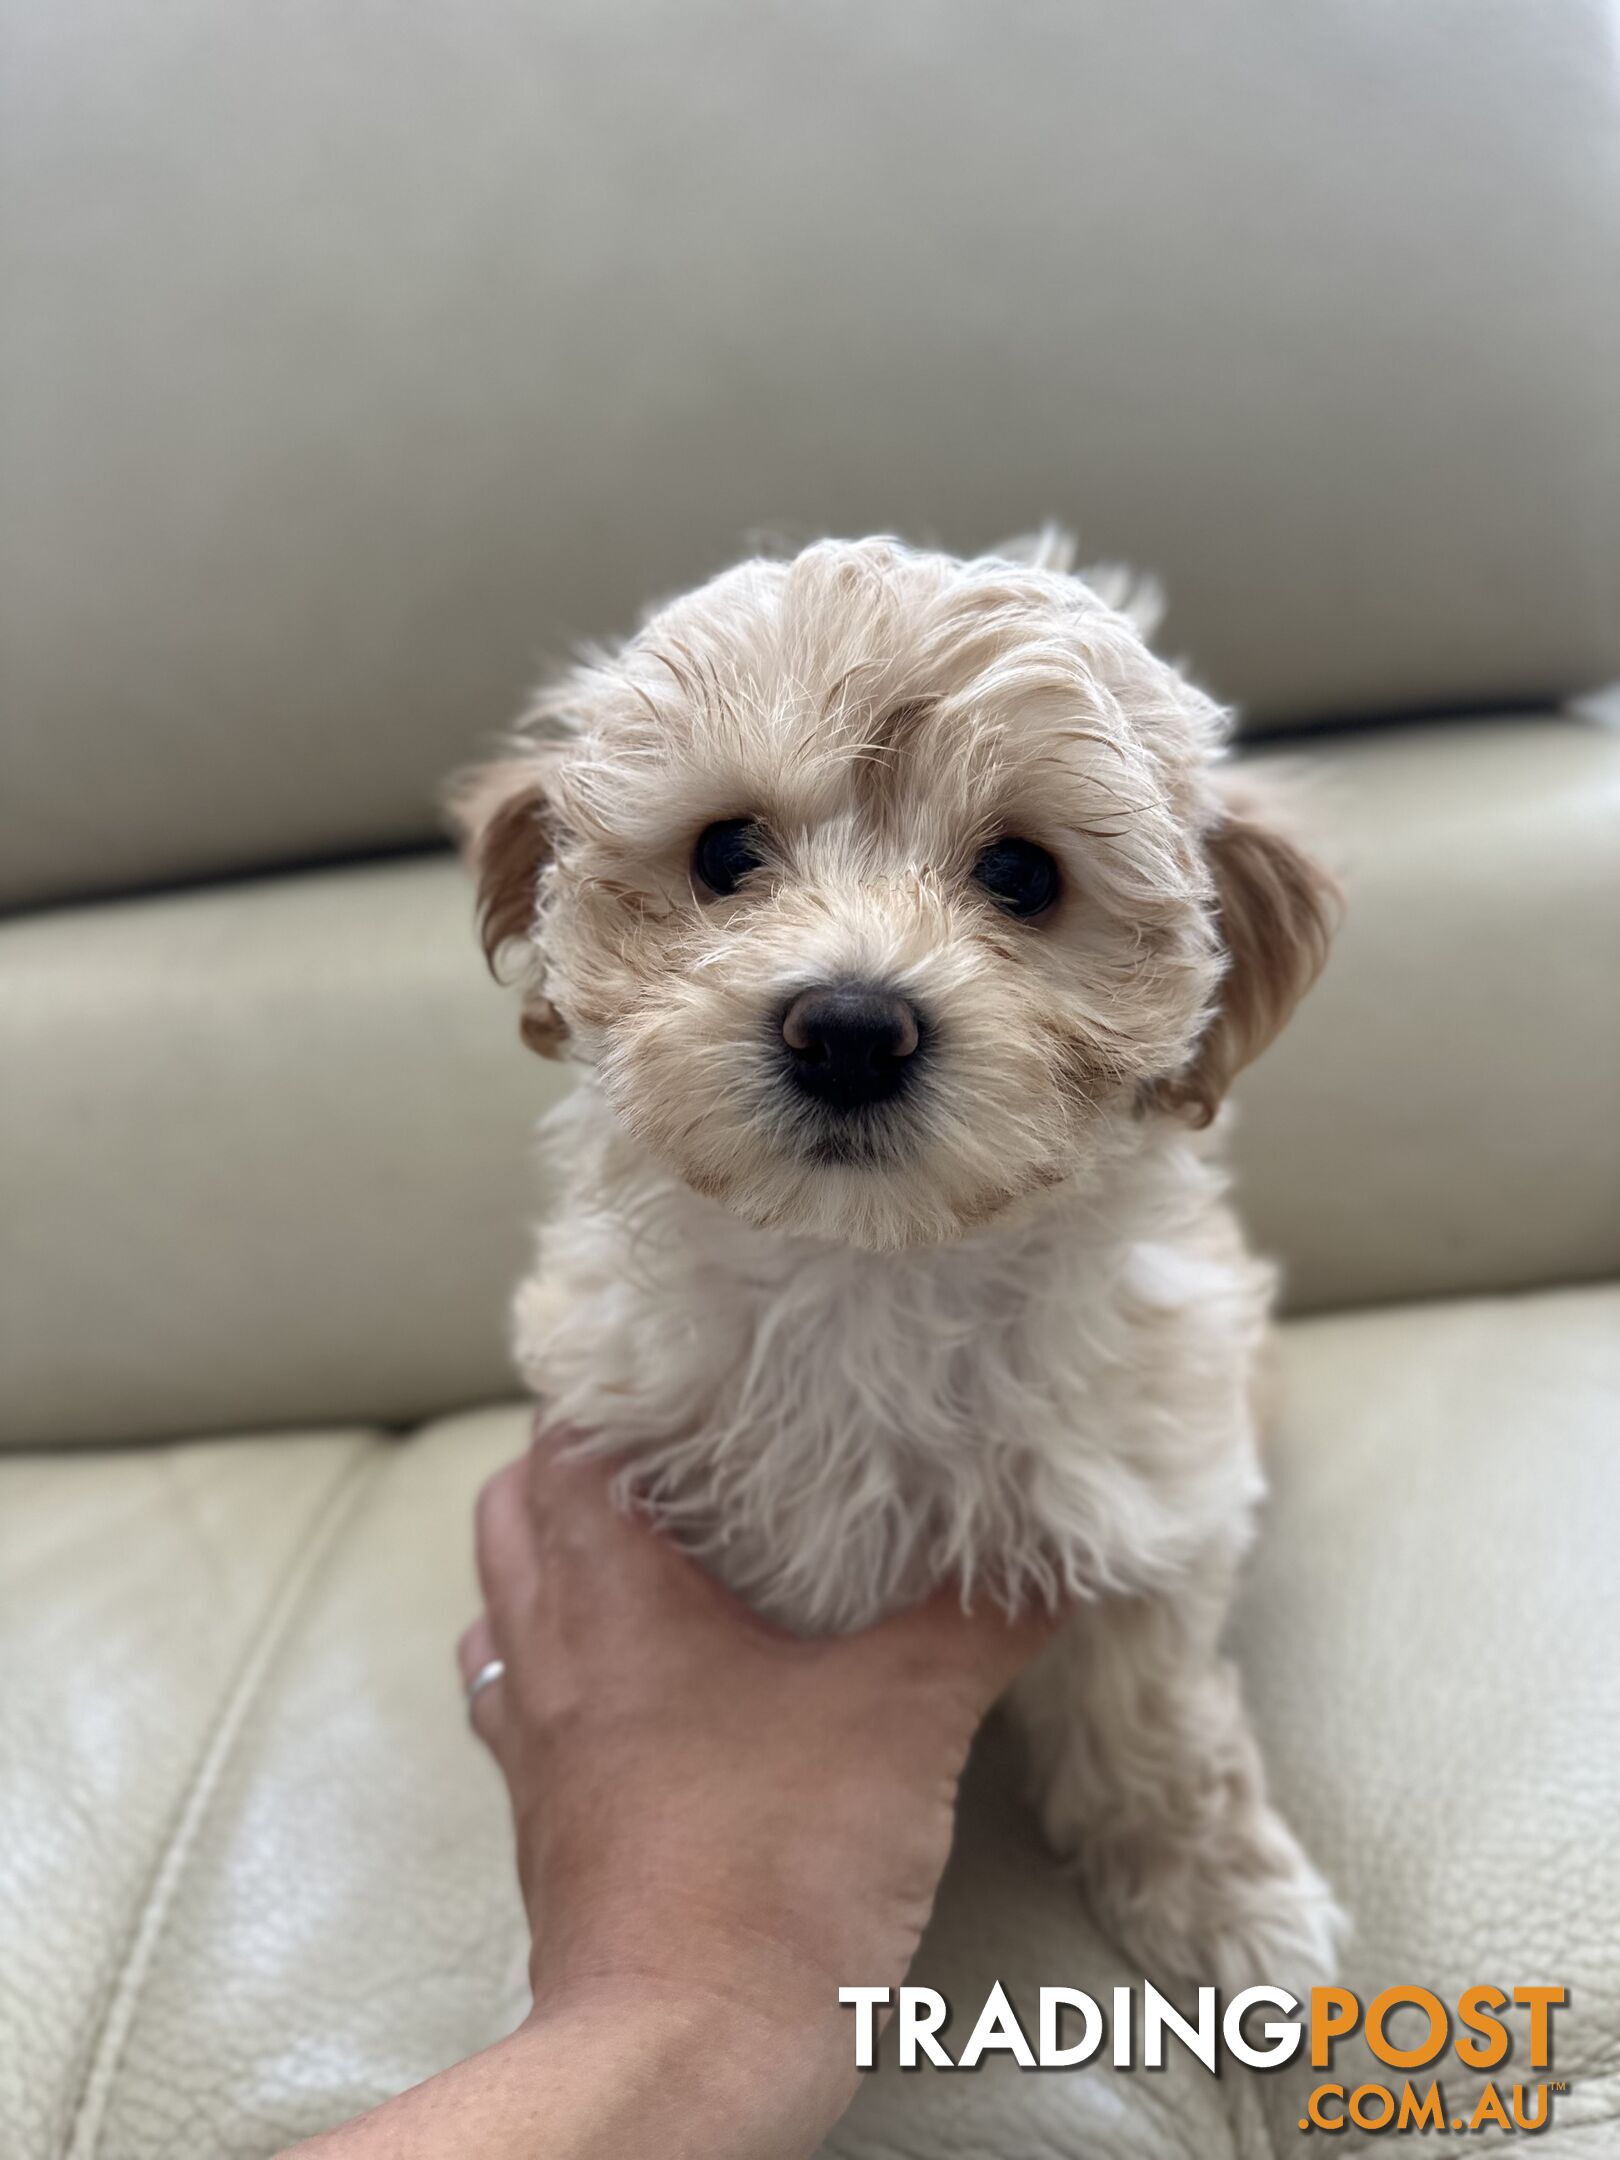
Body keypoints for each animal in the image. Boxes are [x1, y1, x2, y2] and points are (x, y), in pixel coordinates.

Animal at [453, 531, 1347, 1978]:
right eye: (727, 852)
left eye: (1024, 875)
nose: (851, 1029)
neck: (869, 1272)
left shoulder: (1144, 1494)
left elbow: (1155, 1716)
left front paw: (1224, 1898)